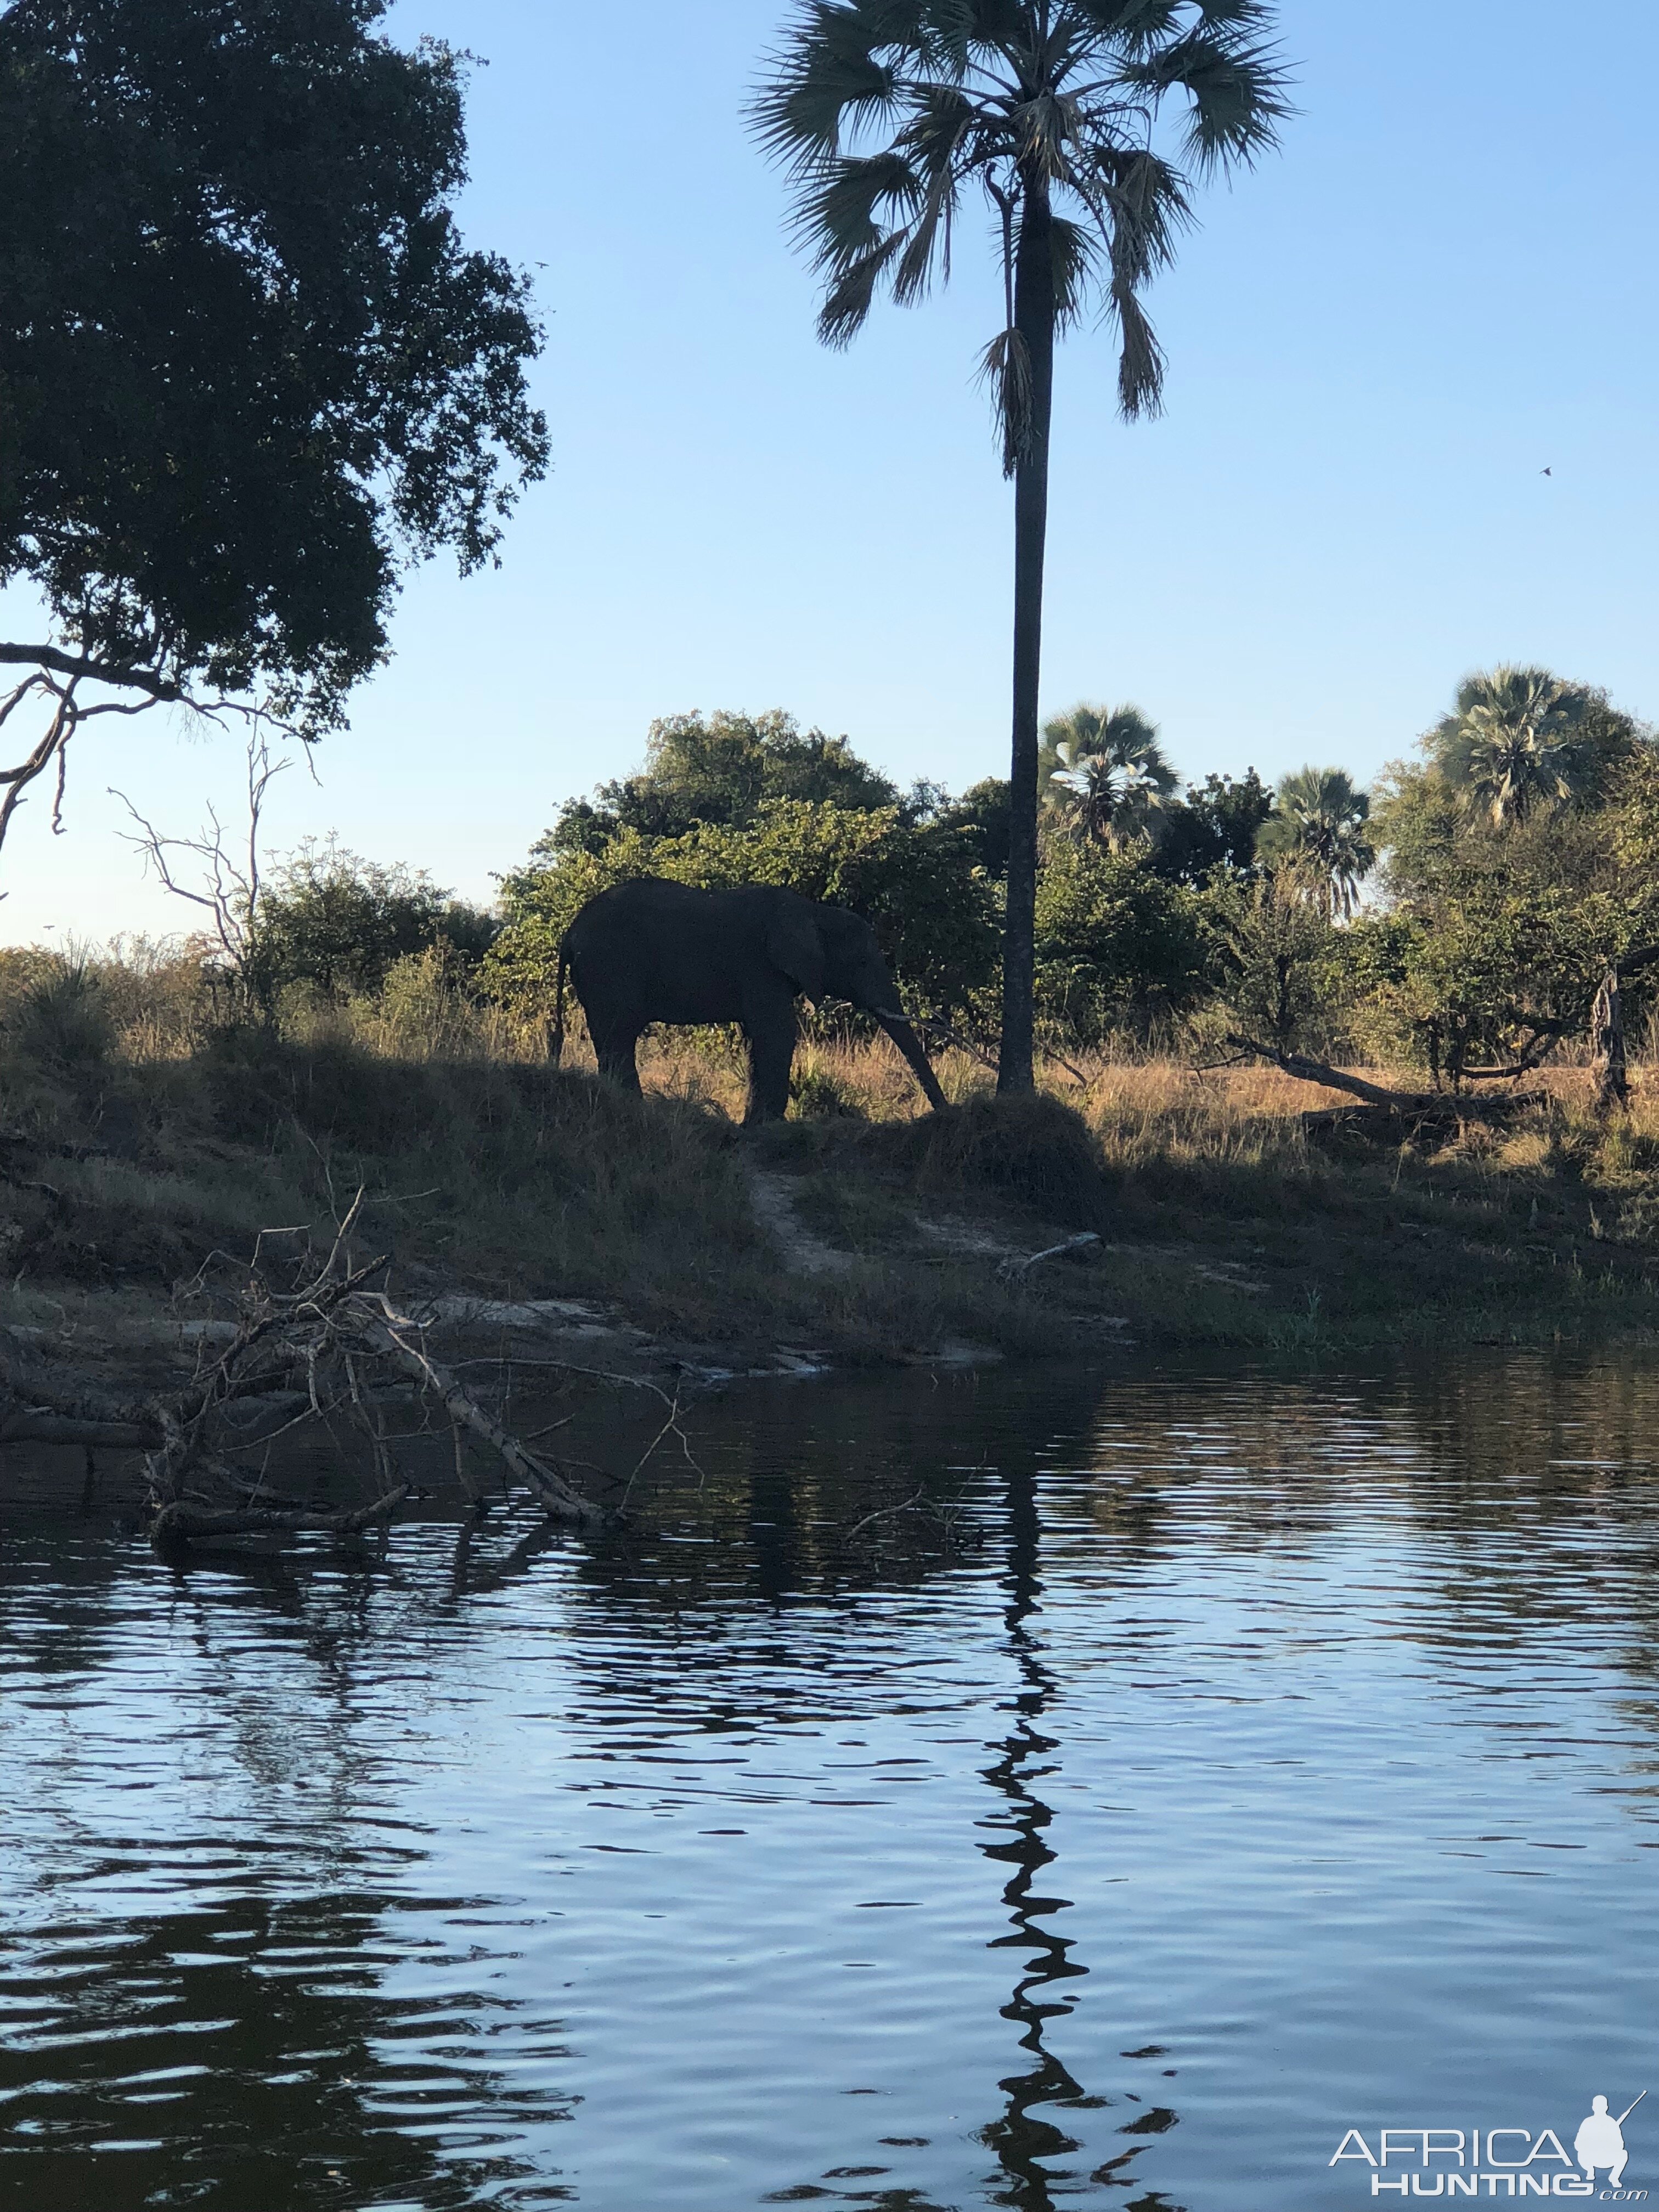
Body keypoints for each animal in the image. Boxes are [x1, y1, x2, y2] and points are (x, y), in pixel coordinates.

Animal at [555, 876, 946, 1124]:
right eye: (863, 962)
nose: (945, 1114)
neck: (814, 912)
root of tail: (570, 932)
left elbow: (758, 1038)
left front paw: (754, 1125)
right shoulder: (761, 966)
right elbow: (777, 1033)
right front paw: (766, 1126)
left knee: (614, 1040)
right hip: (609, 969)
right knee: (619, 1037)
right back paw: (635, 1109)